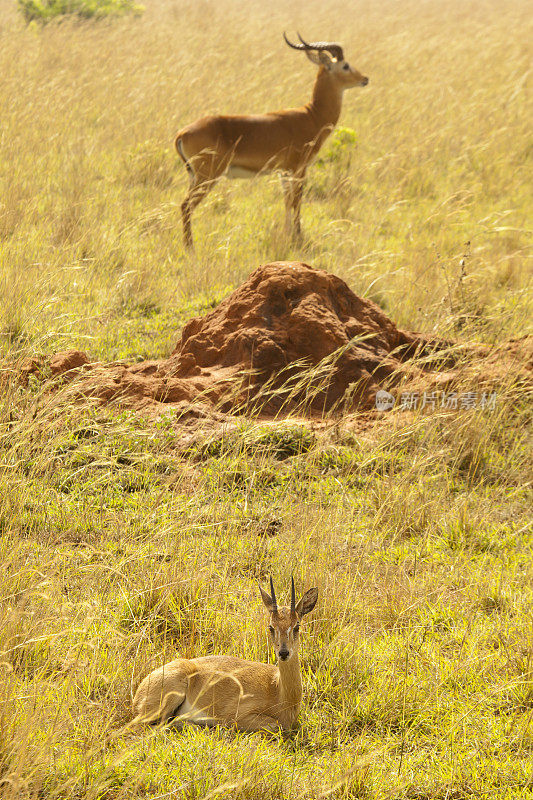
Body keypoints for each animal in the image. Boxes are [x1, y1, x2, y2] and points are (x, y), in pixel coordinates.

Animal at [131, 580, 318, 736]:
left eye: (297, 626)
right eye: (271, 627)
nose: (284, 653)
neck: (279, 692)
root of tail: (139, 693)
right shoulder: (237, 716)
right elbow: (274, 725)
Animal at [174, 33, 366, 247]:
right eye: (345, 65)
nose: (364, 79)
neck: (312, 116)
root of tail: (182, 133)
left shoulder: (283, 172)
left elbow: (286, 202)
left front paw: (287, 234)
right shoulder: (298, 169)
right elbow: (297, 201)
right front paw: (298, 236)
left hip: (194, 176)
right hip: (207, 177)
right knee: (185, 205)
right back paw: (190, 247)